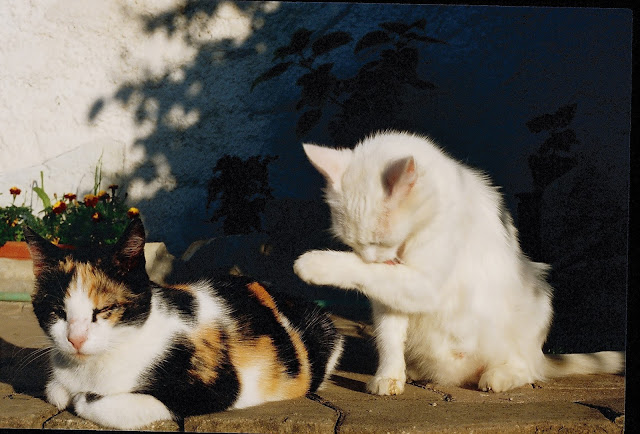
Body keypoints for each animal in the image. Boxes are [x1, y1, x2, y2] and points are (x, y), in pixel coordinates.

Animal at [24, 219, 342, 428]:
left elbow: (89, 401)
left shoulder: (216, 386)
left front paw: (82, 397)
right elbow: (55, 390)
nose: (75, 339)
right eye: (57, 312)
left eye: (105, 310)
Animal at [296, 130, 624, 396]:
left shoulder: (424, 284)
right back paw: (414, 370)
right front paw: (389, 375)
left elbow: (363, 271)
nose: (377, 258)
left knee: (527, 368)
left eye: (378, 242)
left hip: (536, 295)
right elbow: (389, 336)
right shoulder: (391, 298)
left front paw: (314, 263)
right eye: (353, 244)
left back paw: (500, 376)